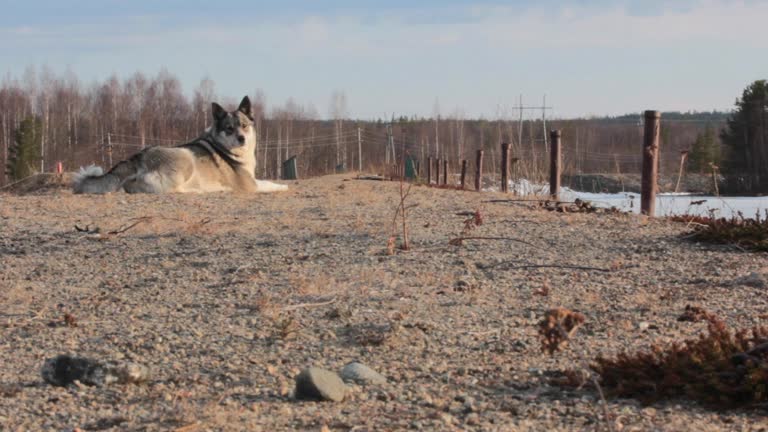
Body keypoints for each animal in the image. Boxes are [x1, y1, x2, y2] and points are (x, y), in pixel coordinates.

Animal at [73, 97, 288, 195]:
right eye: (229, 128)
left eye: (244, 125)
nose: (242, 138)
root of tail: (140, 155)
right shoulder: (249, 185)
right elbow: (268, 184)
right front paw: (282, 186)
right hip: (186, 159)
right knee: (168, 189)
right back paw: (198, 191)